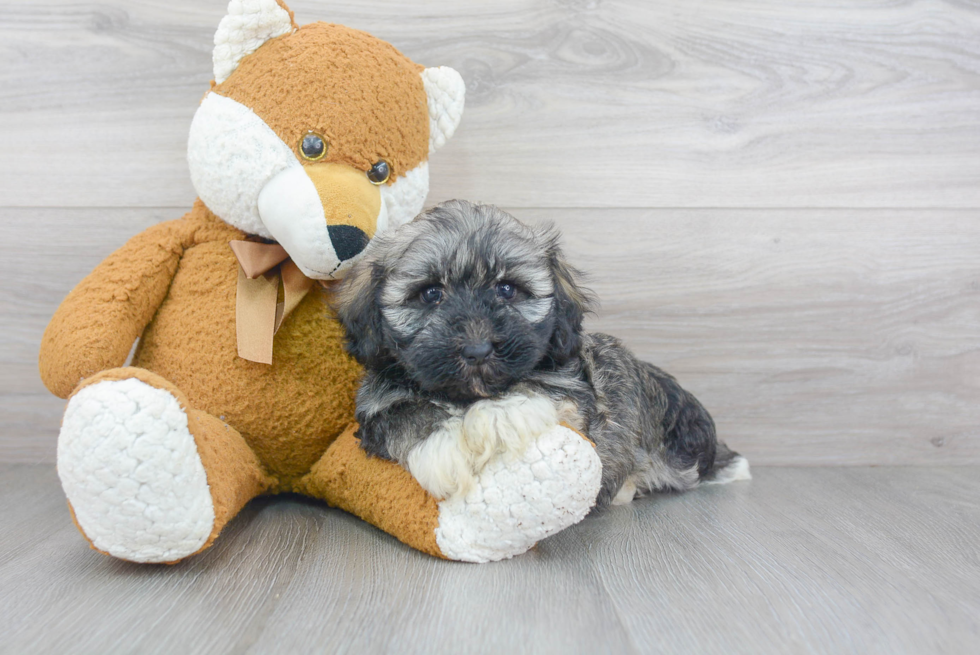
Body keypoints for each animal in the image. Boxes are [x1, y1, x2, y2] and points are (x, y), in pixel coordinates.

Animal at [334, 200, 748, 508]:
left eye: (506, 289)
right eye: (431, 294)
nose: (477, 350)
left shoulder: (577, 394)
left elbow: (537, 386)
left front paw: (499, 415)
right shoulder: (375, 407)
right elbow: (403, 415)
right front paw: (445, 445)